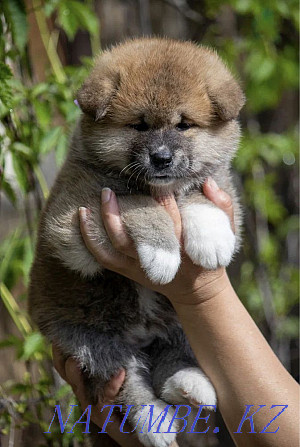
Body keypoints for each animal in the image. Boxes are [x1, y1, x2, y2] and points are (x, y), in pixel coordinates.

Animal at [27, 39, 244, 447]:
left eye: (184, 124)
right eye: (139, 125)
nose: (161, 158)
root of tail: (144, 336)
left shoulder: (225, 195)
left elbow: (197, 194)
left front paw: (210, 236)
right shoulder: (69, 219)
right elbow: (138, 202)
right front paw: (163, 253)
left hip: (180, 327)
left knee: (172, 362)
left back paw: (190, 386)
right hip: (95, 343)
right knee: (131, 385)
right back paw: (155, 421)